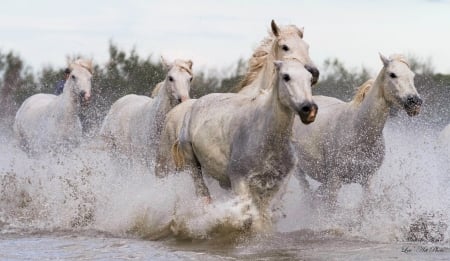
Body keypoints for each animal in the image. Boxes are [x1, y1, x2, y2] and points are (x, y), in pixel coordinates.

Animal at [174, 58, 318, 228]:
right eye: (286, 76)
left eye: (310, 79)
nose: (309, 109)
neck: (267, 138)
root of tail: (194, 105)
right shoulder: (239, 180)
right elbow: (250, 218)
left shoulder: (277, 183)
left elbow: (266, 218)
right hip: (193, 164)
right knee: (203, 193)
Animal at [292, 53, 422, 205]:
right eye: (392, 74)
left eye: (412, 76)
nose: (415, 102)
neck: (358, 131)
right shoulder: (335, 180)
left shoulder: (367, 180)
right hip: (298, 169)